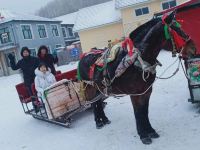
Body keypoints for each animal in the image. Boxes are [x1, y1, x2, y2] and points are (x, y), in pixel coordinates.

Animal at [77, 12, 195, 145]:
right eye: (177, 30)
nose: (193, 48)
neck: (138, 61)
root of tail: (83, 56)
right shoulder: (135, 94)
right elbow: (138, 113)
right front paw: (143, 135)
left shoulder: (147, 91)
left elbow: (145, 111)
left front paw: (151, 131)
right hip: (90, 87)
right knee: (94, 103)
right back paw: (98, 122)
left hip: (99, 88)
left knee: (97, 102)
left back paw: (104, 119)